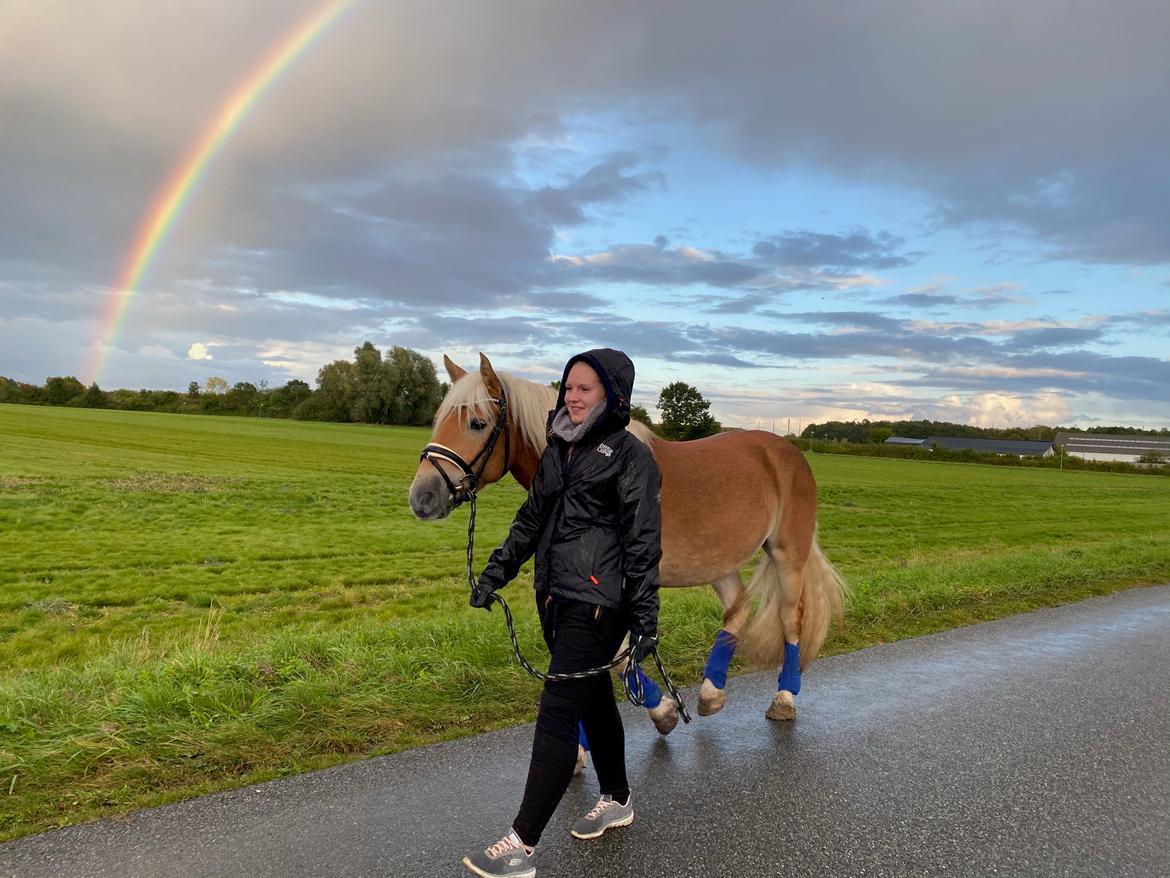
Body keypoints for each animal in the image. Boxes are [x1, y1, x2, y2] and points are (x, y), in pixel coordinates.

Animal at [407, 353, 847, 730]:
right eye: (439, 420)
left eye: (476, 423)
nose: (422, 498)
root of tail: (786, 450)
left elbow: (615, 660)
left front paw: (662, 711)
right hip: (718, 562)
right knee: (736, 610)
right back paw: (711, 693)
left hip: (788, 554)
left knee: (791, 620)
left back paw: (785, 698)